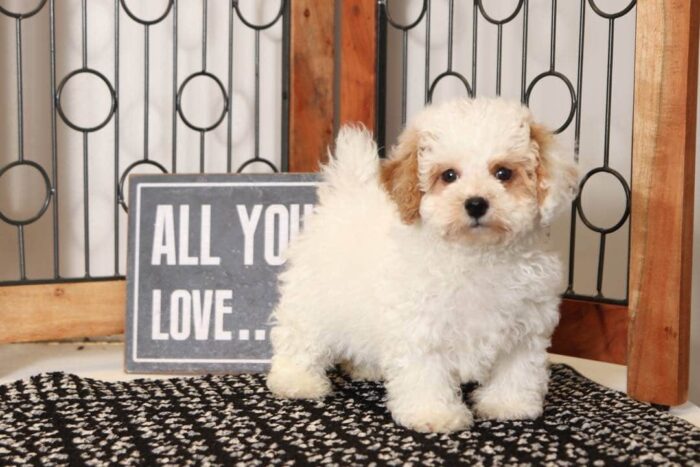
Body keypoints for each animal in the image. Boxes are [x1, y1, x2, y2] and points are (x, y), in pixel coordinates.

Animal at [266, 98, 576, 436]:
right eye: (449, 175)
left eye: (503, 173)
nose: (476, 203)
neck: (477, 255)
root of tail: (349, 192)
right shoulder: (421, 326)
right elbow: (427, 373)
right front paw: (435, 414)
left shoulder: (526, 325)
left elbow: (517, 369)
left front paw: (508, 405)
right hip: (312, 300)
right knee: (299, 338)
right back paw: (297, 380)